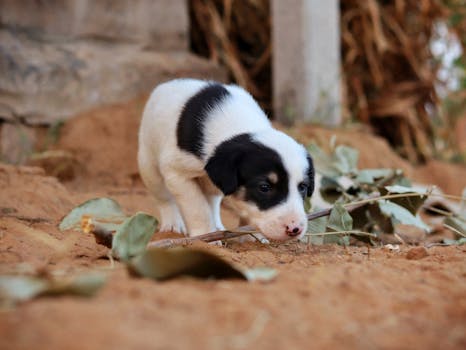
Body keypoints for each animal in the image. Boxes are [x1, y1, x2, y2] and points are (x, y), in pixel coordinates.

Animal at [137, 78, 314, 241]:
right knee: (164, 198)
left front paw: (250, 237)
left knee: (212, 201)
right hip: (149, 166)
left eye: (303, 187)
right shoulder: (177, 173)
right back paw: (172, 224)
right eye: (264, 187)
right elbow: (197, 208)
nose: (295, 229)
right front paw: (204, 235)